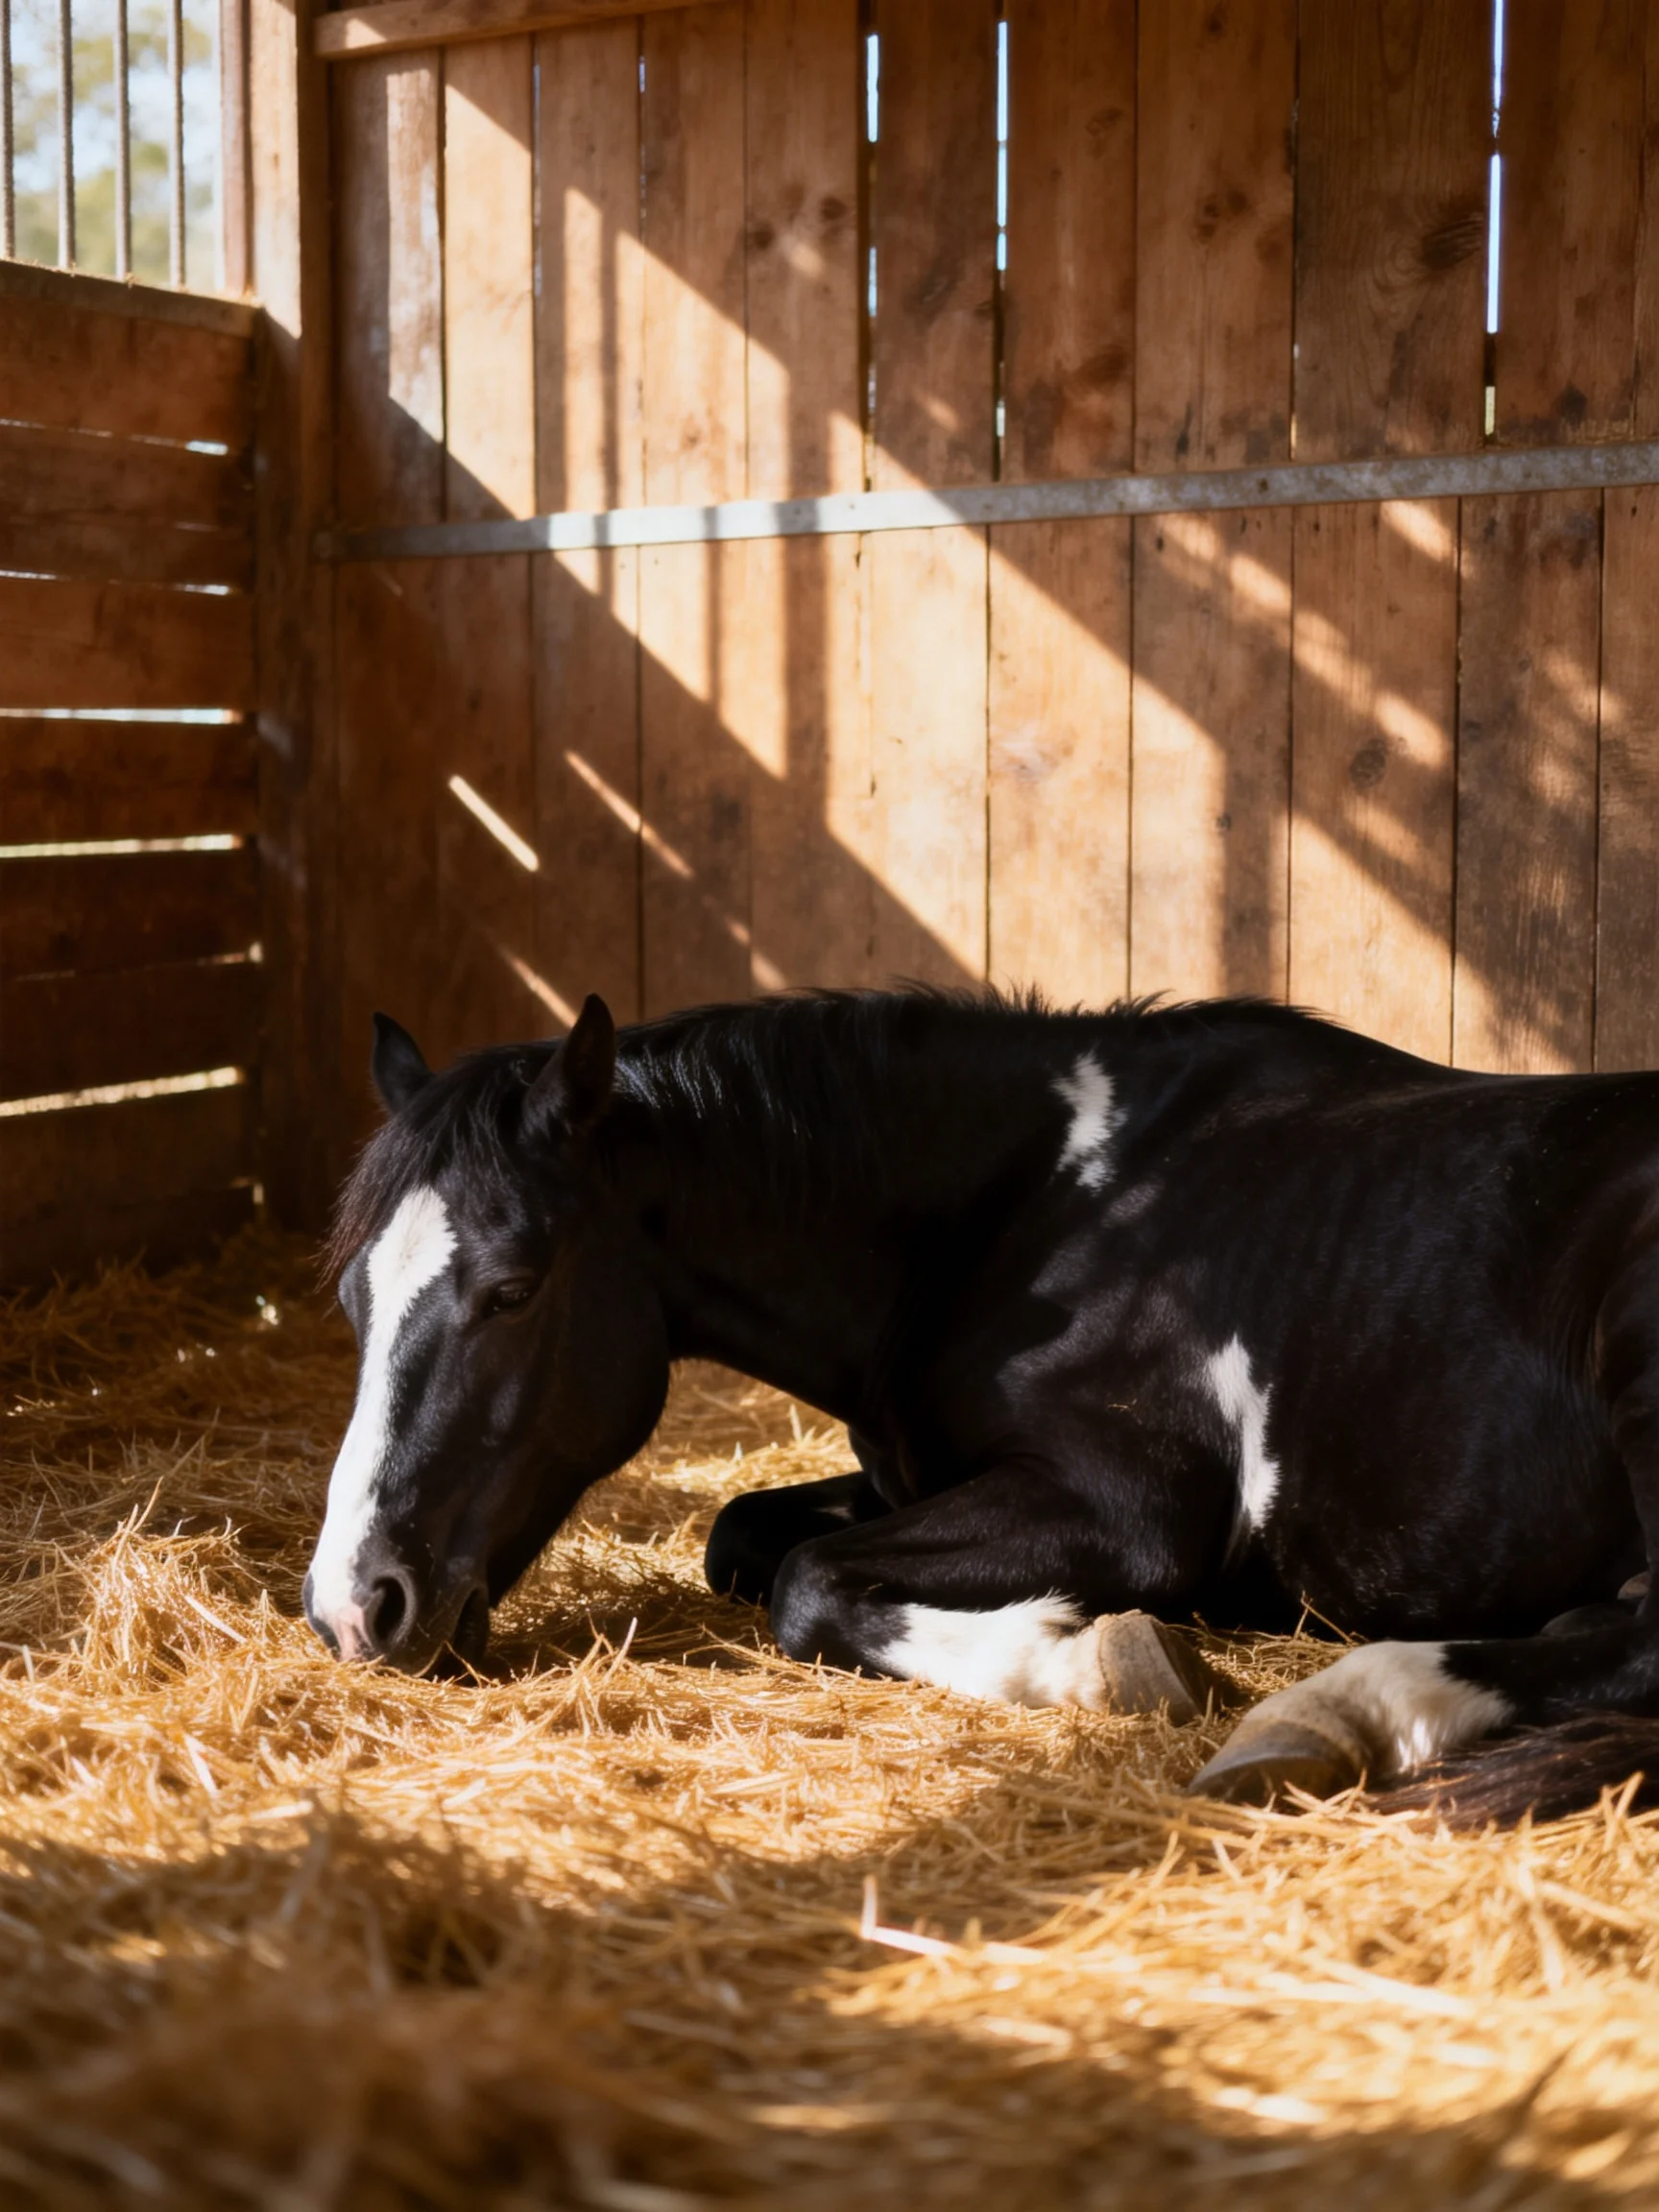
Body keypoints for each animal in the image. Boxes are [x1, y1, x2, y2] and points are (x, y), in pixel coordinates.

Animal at [303, 987, 1659, 1813]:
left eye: (513, 1288)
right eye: (354, 1298)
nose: (354, 1607)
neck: (1030, 1205)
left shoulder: (1128, 1511)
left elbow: (811, 1585)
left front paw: (1109, 1660)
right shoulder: (916, 1475)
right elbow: (741, 1534)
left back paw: (1332, 1714)